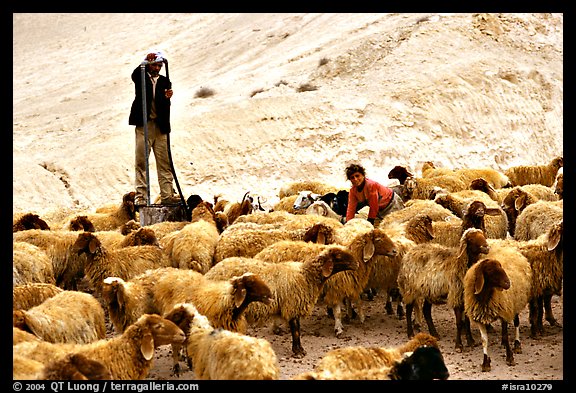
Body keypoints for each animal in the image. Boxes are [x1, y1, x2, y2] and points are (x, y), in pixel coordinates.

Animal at [201, 247, 356, 356]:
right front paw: (298, 351)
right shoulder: (293, 305)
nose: (356, 264)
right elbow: (296, 330)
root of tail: (211, 271)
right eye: (339, 256)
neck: (306, 276)